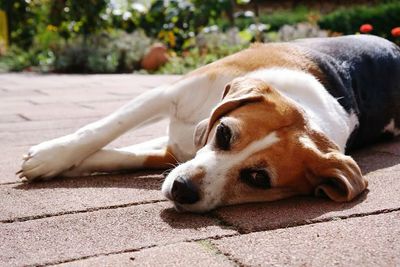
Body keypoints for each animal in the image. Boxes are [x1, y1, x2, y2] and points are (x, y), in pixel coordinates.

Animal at [18, 34, 400, 214]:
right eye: (224, 133)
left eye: (258, 179)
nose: (182, 190)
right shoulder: (167, 94)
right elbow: (103, 131)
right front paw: (52, 157)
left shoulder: (173, 152)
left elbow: (119, 154)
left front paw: (55, 164)